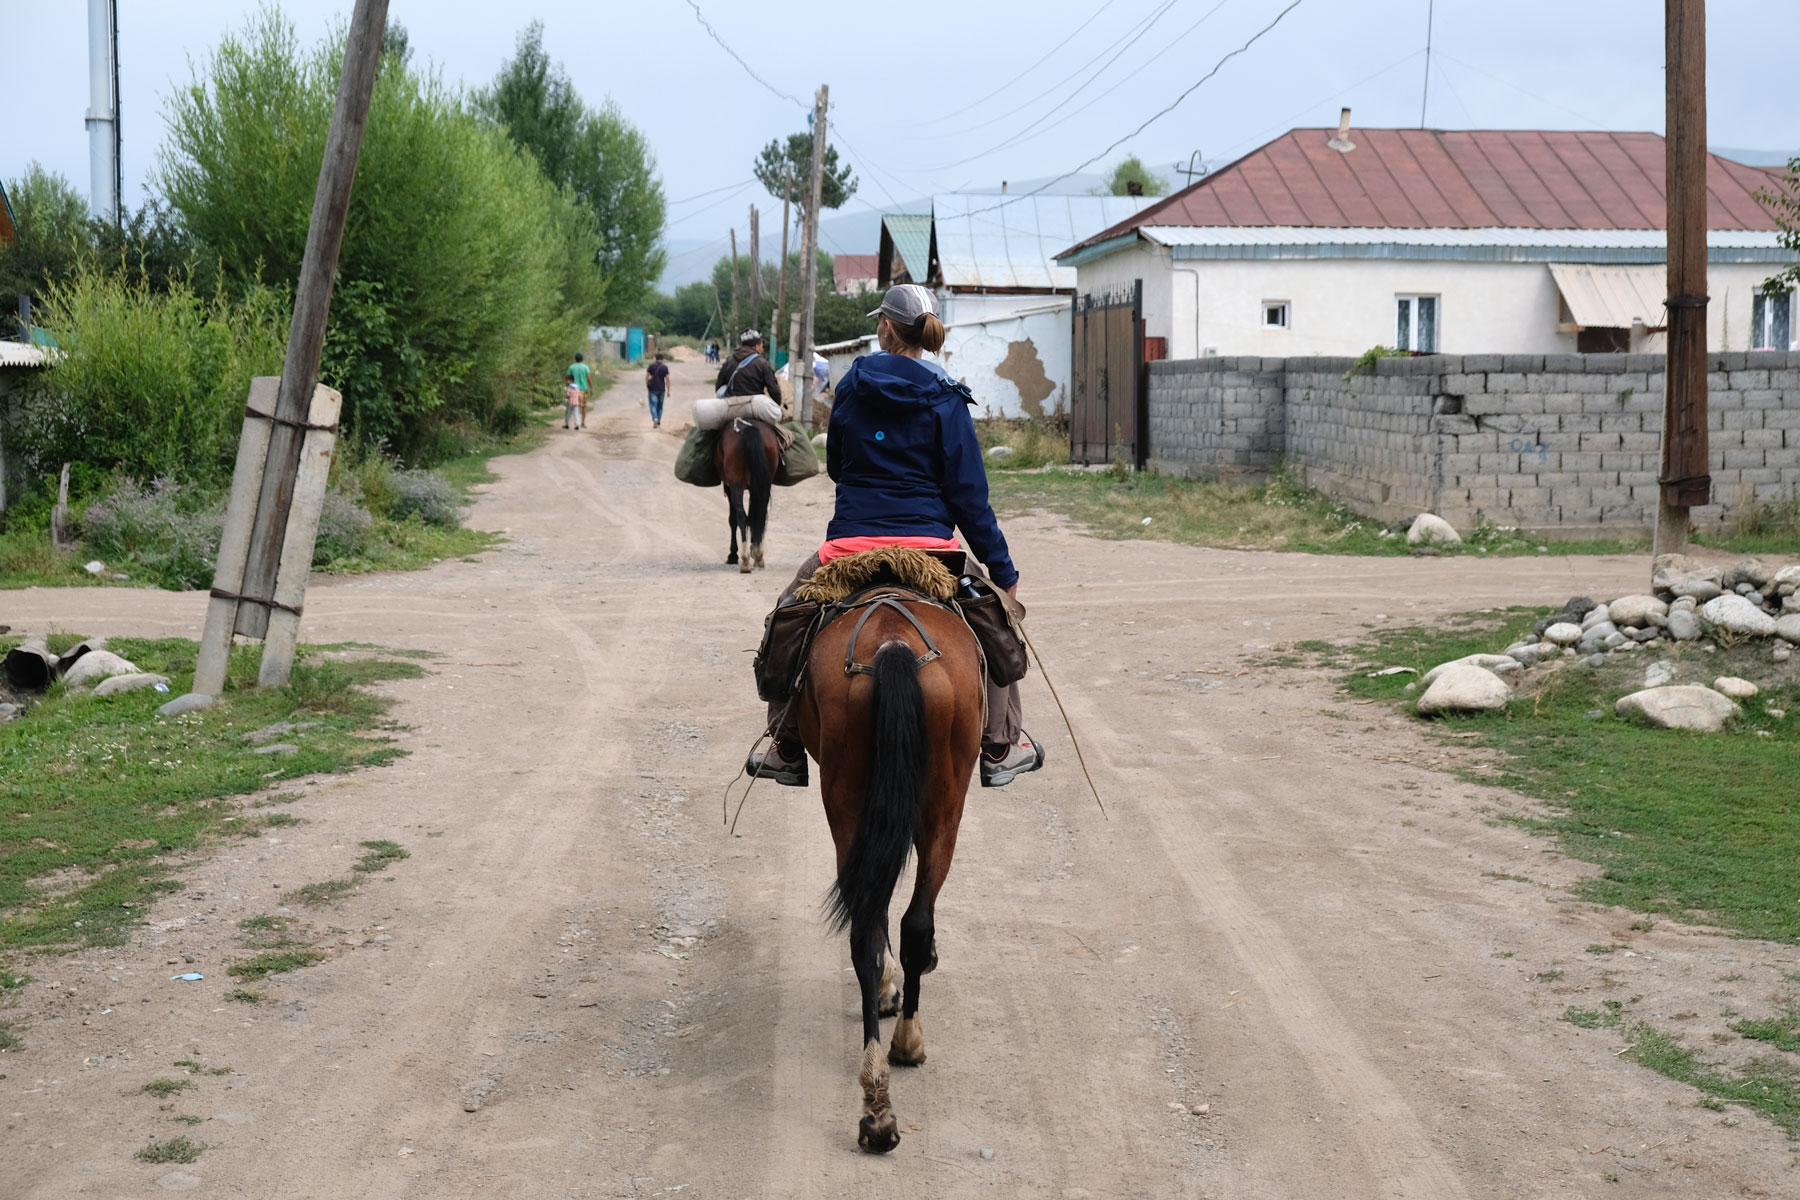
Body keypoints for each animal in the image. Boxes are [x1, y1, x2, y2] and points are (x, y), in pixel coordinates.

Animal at [709, 420, 781, 575]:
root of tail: (748, 426)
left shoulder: (729, 486)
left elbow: (733, 519)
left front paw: (732, 555)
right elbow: (754, 516)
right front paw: (755, 549)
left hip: (737, 485)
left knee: (741, 517)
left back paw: (745, 561)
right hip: (764, 483)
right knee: (760, 513)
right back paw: (758, 556)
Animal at [795, 597, 979, 1151]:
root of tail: (893, 643)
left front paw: (886, 991)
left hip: (848, 799)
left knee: (868, 932)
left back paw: (877, 1103)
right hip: (944, 805)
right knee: (912, 922)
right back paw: (903, 1049)